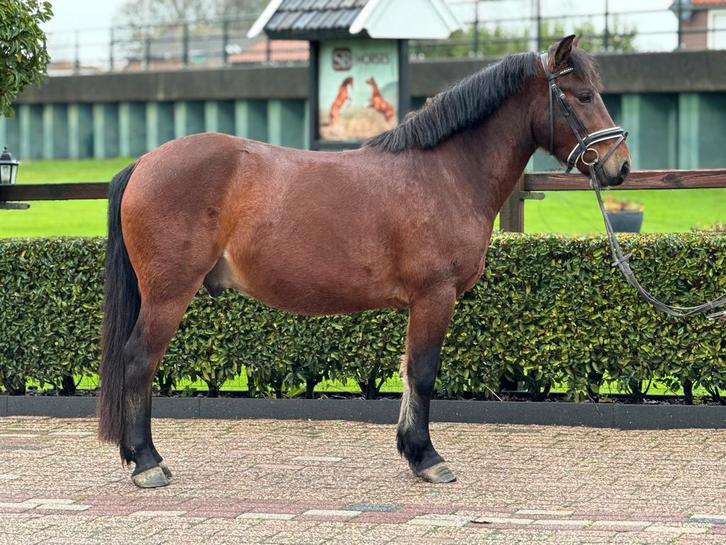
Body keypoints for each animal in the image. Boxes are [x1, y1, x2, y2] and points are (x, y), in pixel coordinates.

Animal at [98, 36, 631, 488]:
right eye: (583, 95)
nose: (619, 166)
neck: (444, 172)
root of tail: (144, 164)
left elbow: (408, 370)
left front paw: (412, 450)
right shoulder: (434, 297)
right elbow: (423, 372)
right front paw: (427, 458)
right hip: (168, 293)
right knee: (139, 360)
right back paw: (146, 463)